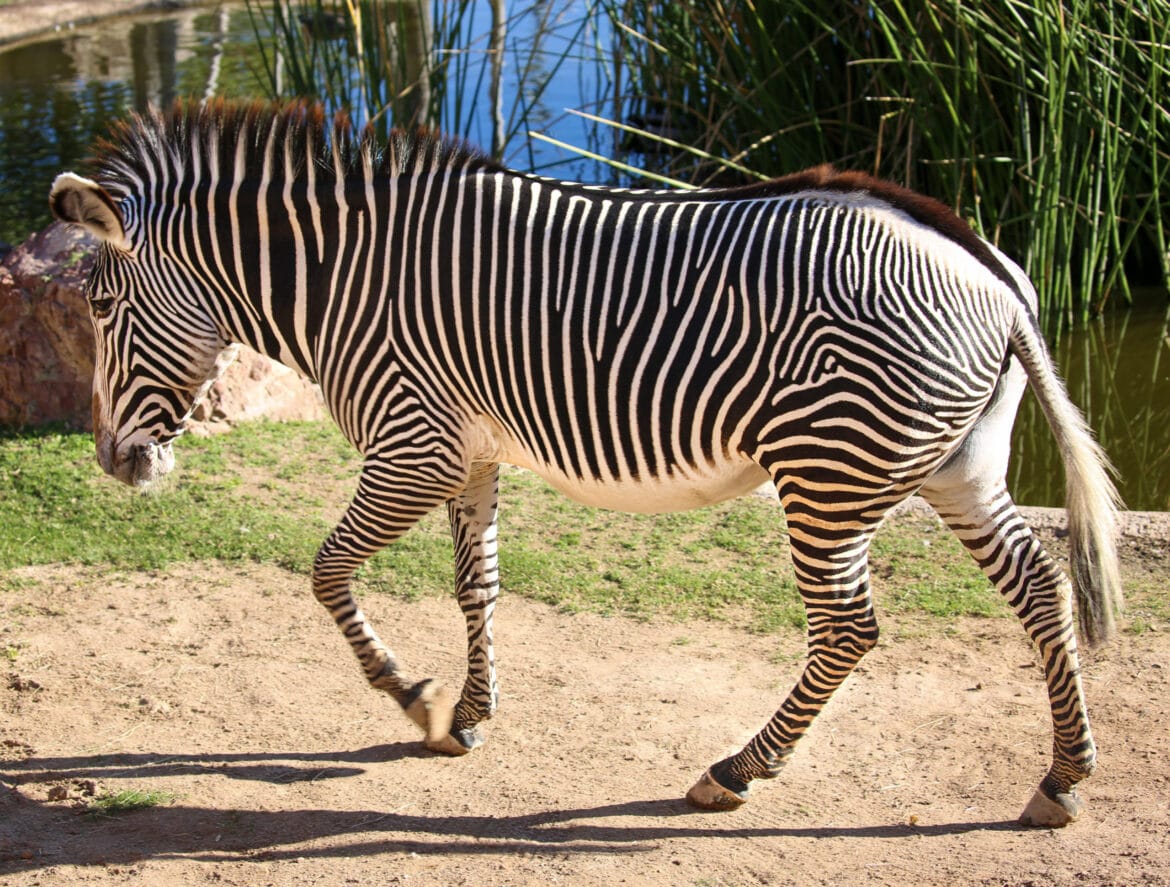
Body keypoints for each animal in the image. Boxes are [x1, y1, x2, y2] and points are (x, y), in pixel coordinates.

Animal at [49, 100, 1121, 827]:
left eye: (99, 309)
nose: (112, 464)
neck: (344, 280)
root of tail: (996, 275)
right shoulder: (470, 450)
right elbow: (475, 585)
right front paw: (469, 715)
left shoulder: (412, 444)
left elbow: (326, 571)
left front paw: (411, 694)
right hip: (957, 466)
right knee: (1040, 591)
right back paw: (1063, 778)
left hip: (828, 473)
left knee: (849, 628)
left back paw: (734, 771)